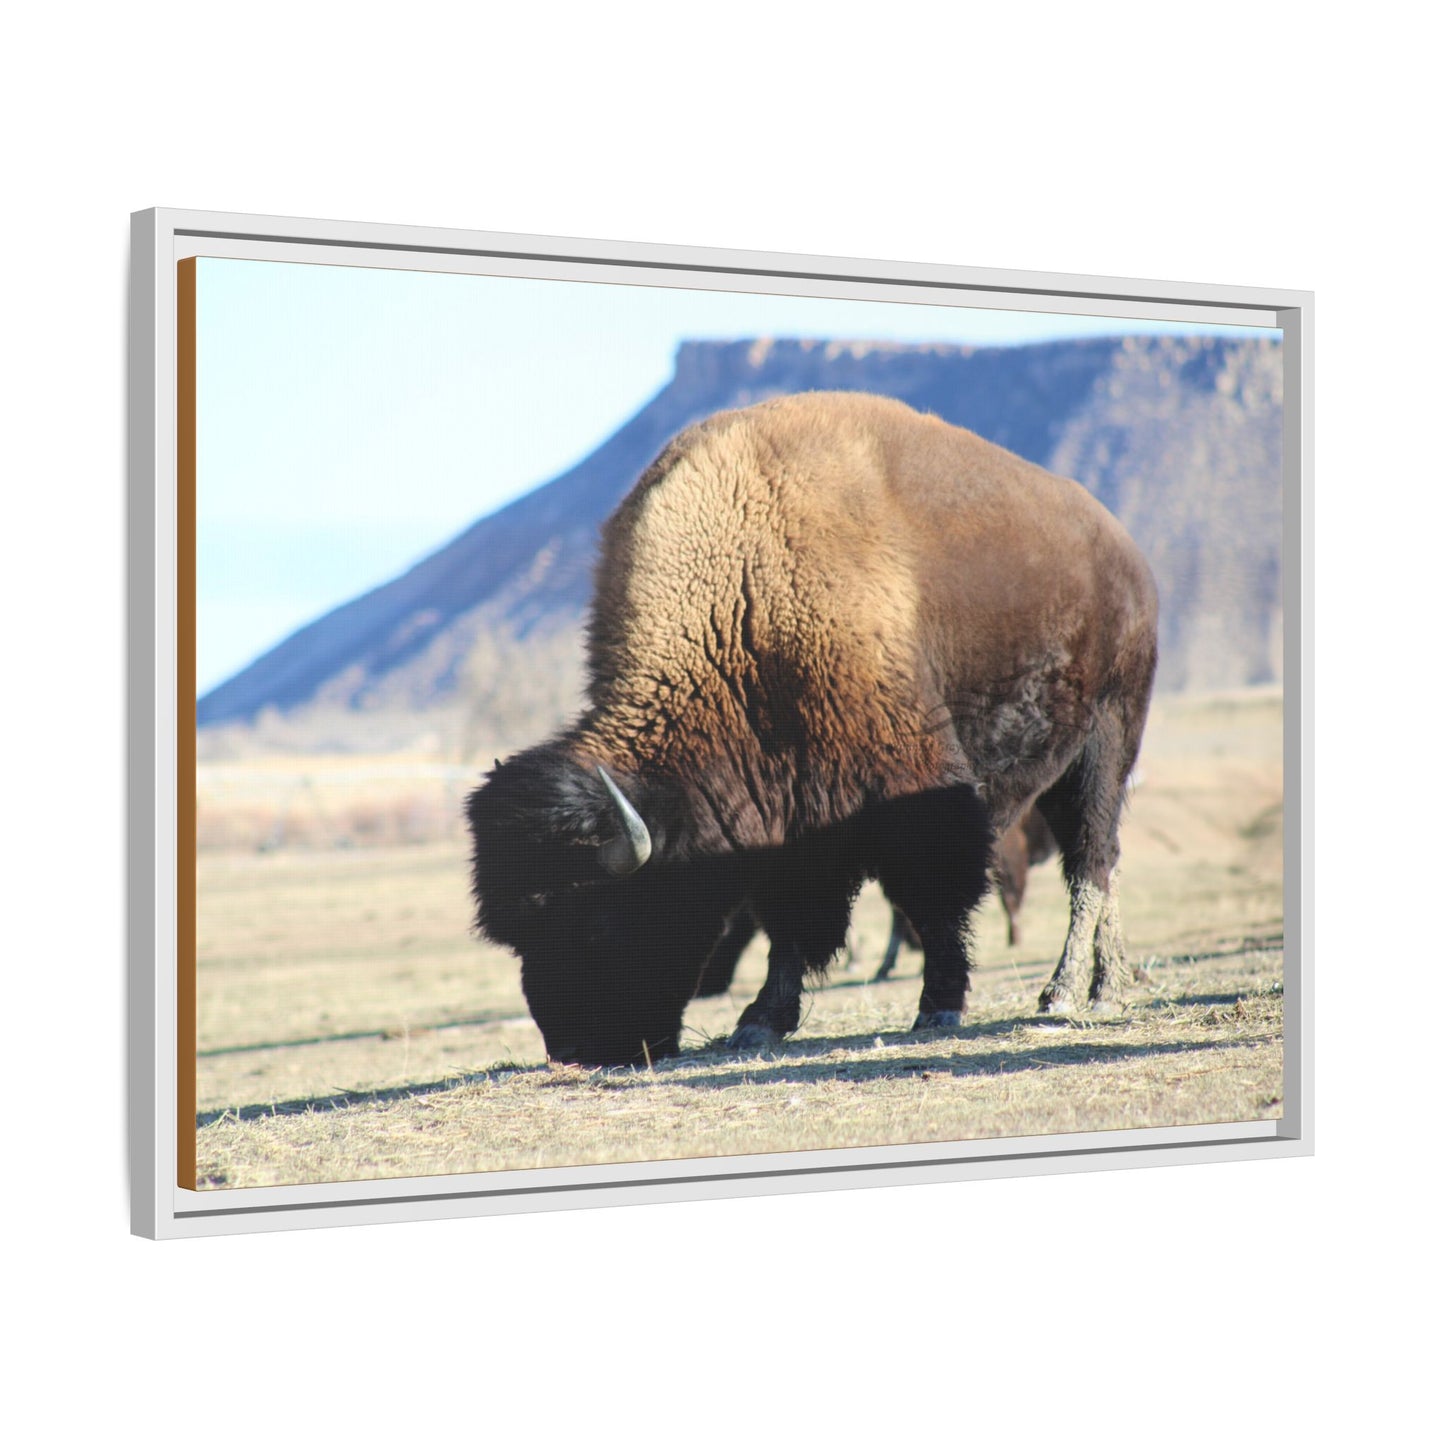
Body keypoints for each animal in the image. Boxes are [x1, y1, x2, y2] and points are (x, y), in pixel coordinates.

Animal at [467, 392, 1158, 1066]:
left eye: (594, 919)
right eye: (518, 935)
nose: (574, 1051)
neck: (743, 599)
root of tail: (1126, 554)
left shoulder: (913, 787)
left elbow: (932, 897)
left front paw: (938, 1006)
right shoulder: (785, 817)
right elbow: (789, 922)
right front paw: (760, 1022)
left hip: (1105, 744)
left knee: (1090, 862)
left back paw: (1071, 992)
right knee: (1103, 862)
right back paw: (1108, 983)